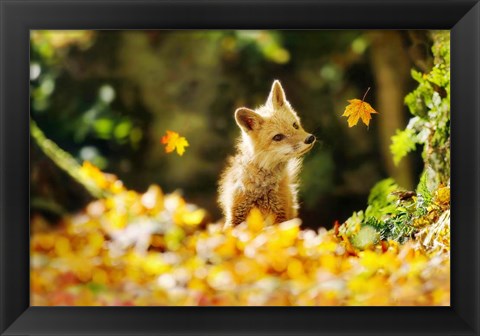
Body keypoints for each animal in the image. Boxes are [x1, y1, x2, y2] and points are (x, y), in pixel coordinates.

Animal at [218, 80, 316, 227]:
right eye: (278, 137)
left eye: (295, 125)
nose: (310, 138)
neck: (262, 189)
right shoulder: (235, 215)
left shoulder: (281, 216)